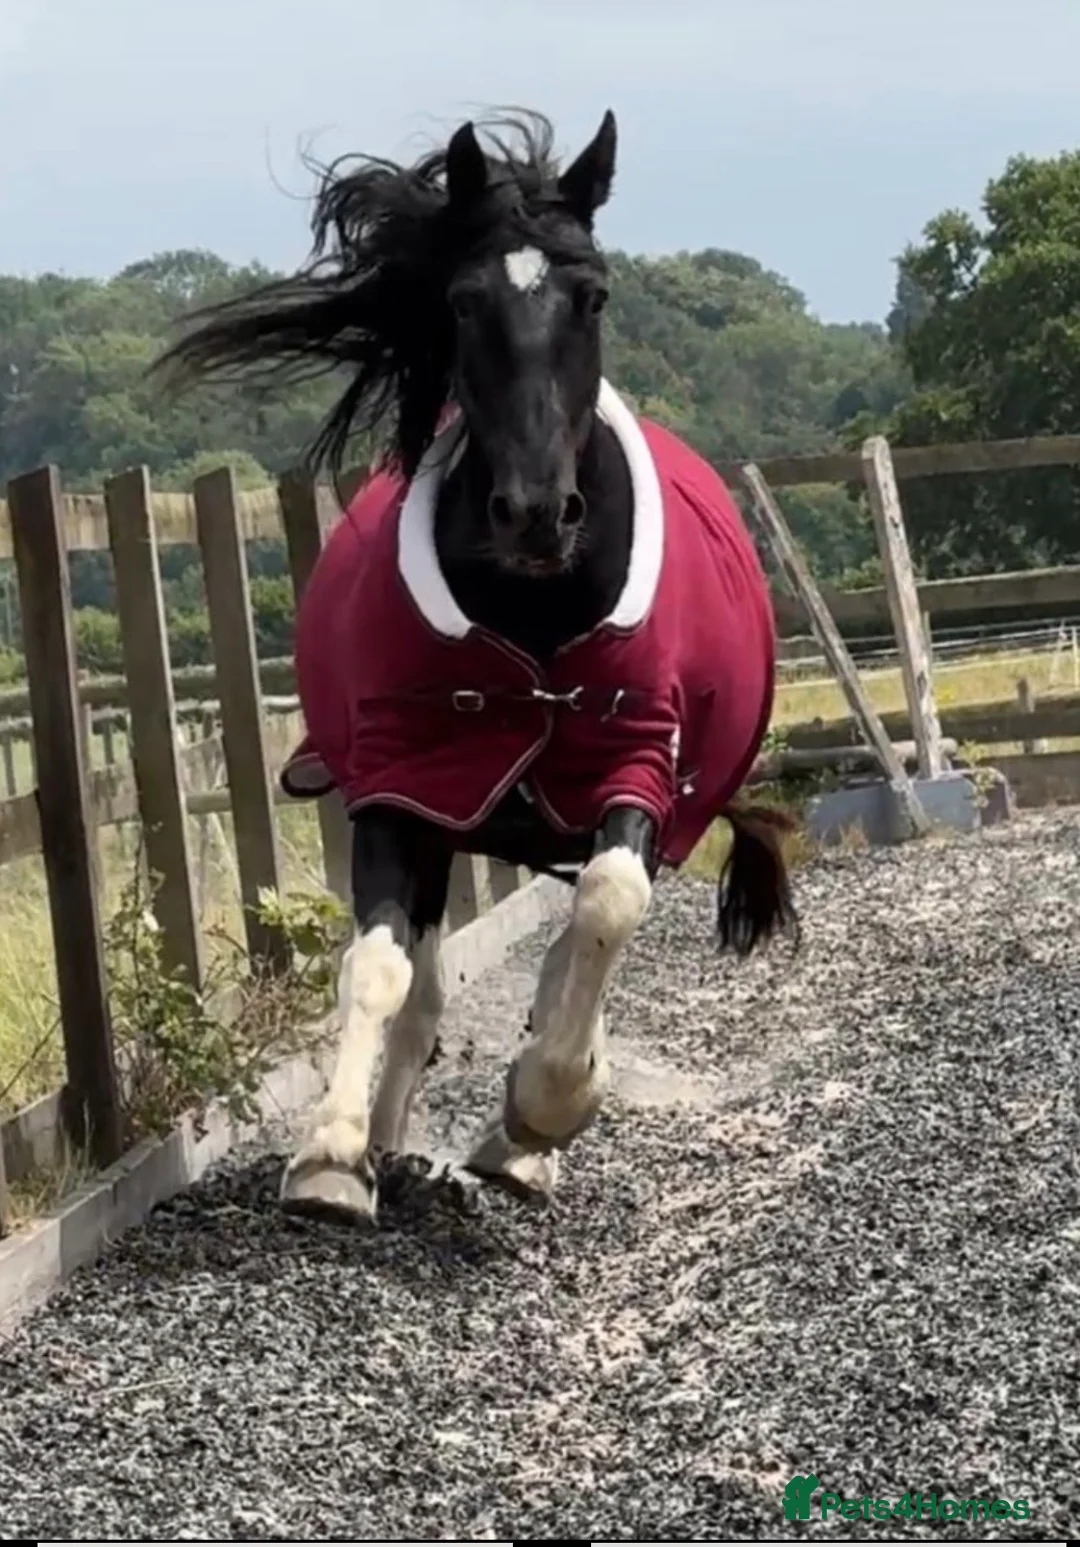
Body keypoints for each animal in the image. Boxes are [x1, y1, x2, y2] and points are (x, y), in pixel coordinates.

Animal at [155, 107, 798, 1224]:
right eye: (463, 299)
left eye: (593, 295)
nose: (535, 512)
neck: (534, 617)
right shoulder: (408, 783)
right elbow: (378, 968)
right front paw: (332, 1152)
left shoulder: (634, 764)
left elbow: (607, 906)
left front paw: (545, 1107)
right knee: (425, 981)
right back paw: (391, 1136)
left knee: (573, 944)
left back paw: (520, 1138)